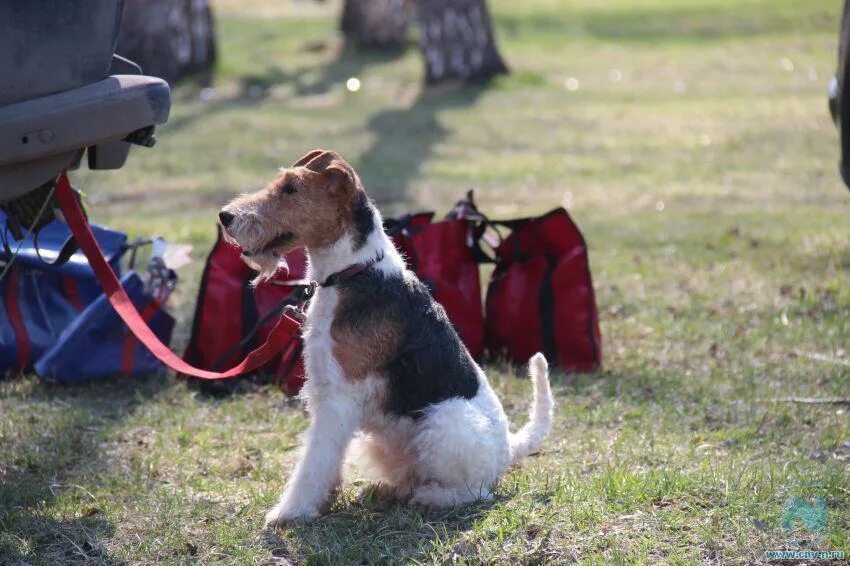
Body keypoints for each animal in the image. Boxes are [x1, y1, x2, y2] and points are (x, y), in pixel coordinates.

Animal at [215, 151, 552, 528]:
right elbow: (325, 457)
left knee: (475, 492)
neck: (350, 273)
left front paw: (291, 511)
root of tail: (508, 447)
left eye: (290, 189)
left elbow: (314, 460)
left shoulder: (338, 397)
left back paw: (431, 497)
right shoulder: (325, 388)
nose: (226, 217)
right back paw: (386, 489)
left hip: (443, 423)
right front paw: (324, 500)